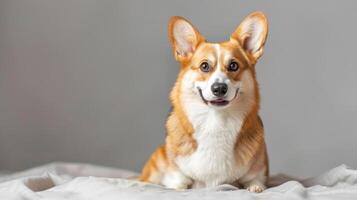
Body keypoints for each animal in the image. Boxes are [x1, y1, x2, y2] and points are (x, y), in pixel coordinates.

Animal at [139, 12, 268, 192]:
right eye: (204, 66)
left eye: (233, 66)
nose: (219, 88)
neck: (215, 121)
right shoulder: (176, 175)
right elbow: (179, 184)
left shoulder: (258, 172)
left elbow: (255, 182)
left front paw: (254, 188)